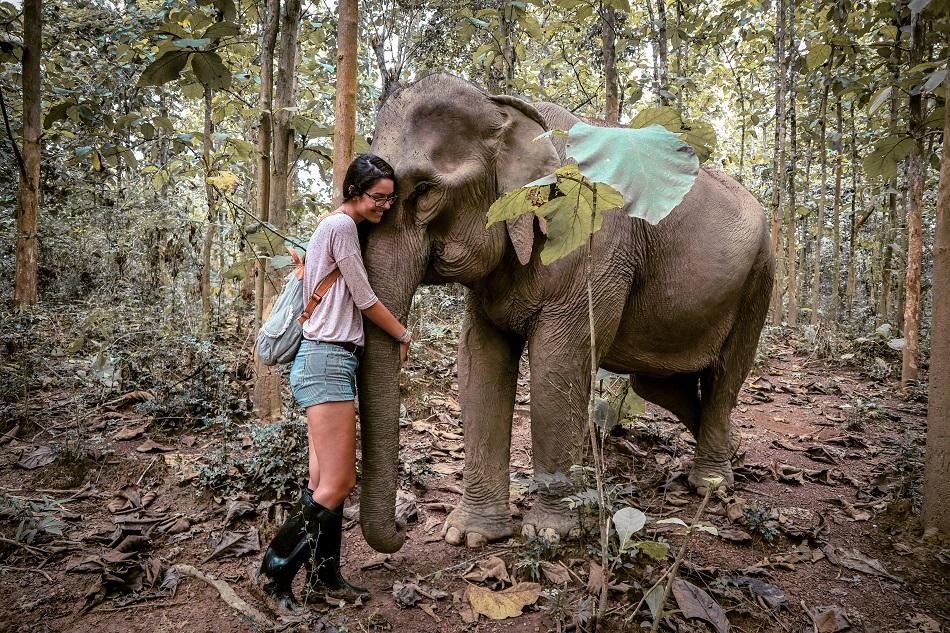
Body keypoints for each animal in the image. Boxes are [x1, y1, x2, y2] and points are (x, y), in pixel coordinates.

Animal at [356, 72, 774, 553]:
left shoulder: (593, 244)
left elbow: (558, 361)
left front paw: (550, 532)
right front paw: (472, 535)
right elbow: (479, 360)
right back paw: (731, 447)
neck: (506, 107)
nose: (405, 525)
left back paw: (711, 483)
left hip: (759, 277)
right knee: (658, 384)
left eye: (423, 191)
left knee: (727, 372)